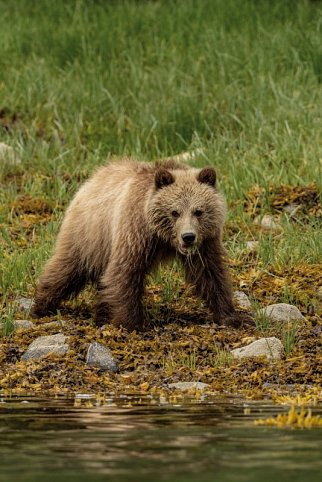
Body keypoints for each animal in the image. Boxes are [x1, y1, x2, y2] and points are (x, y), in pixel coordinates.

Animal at [33, 158, 242, 332]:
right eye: (174, 212)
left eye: (198, 211)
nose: (188, 237)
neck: (162, 237)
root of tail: (90, 181)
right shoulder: (135, 232)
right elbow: (125, 271)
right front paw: (131, 323)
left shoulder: (206, 242)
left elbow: (211, 273)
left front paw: (231, 316)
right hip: (88, 235)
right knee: (67, 268)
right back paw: (41, 305)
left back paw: (101, 313)